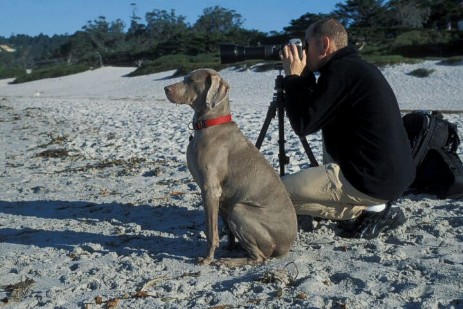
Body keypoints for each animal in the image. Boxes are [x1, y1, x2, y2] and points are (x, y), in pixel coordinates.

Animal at [166, 68, 298, 266]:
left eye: (190, 81)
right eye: (184, 78)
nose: (166, 88)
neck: (209, 125)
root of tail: (286, 245)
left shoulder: (210, 189)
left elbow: (211, 232)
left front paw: (208, 258)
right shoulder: (222, 197)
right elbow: (226, 229)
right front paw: (230, 246)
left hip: (240, 211)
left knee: (259, 258)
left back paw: (230, 261)